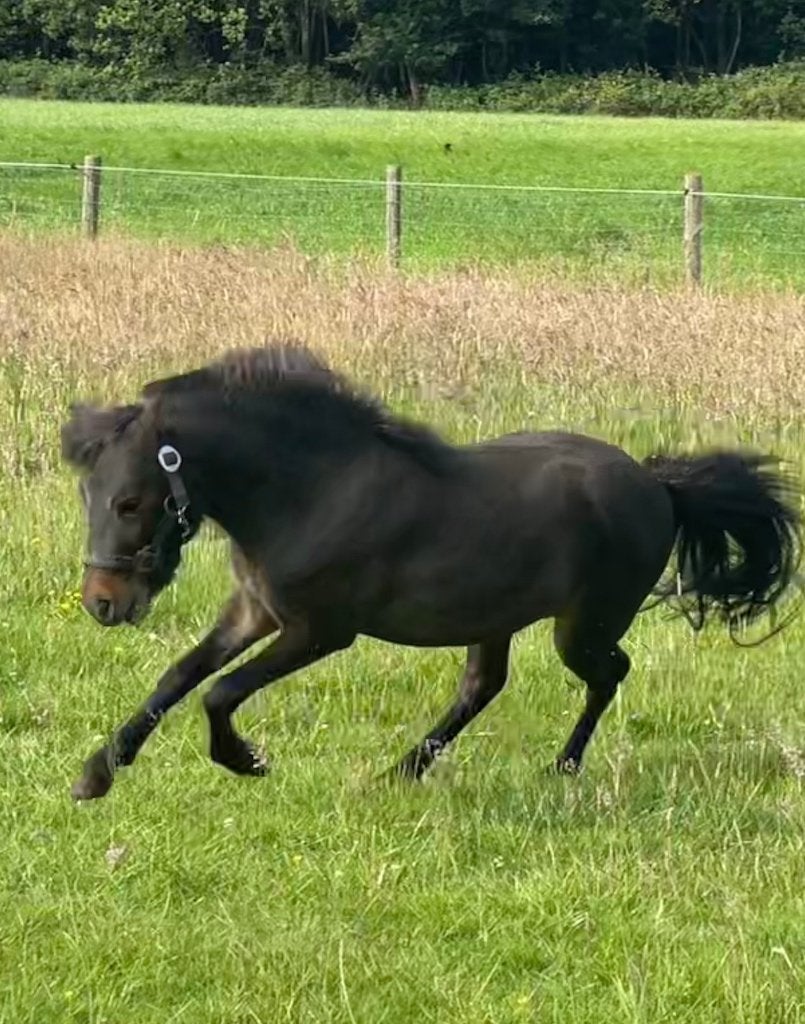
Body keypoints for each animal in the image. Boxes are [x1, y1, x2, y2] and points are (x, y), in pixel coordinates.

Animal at [60, 344, 801, 801]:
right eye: (89, 495)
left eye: (130, 502)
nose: (101, 602)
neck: (310, 490)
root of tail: (660, 485)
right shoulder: (254, 610)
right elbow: (179, 675)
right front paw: (97, 774)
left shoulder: (320, 630)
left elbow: (219, 692)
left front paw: (246, 760)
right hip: (496, 617)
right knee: (484, 686)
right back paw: (405, 769)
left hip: (582, 626)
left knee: (607, 673)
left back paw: (560, 765)